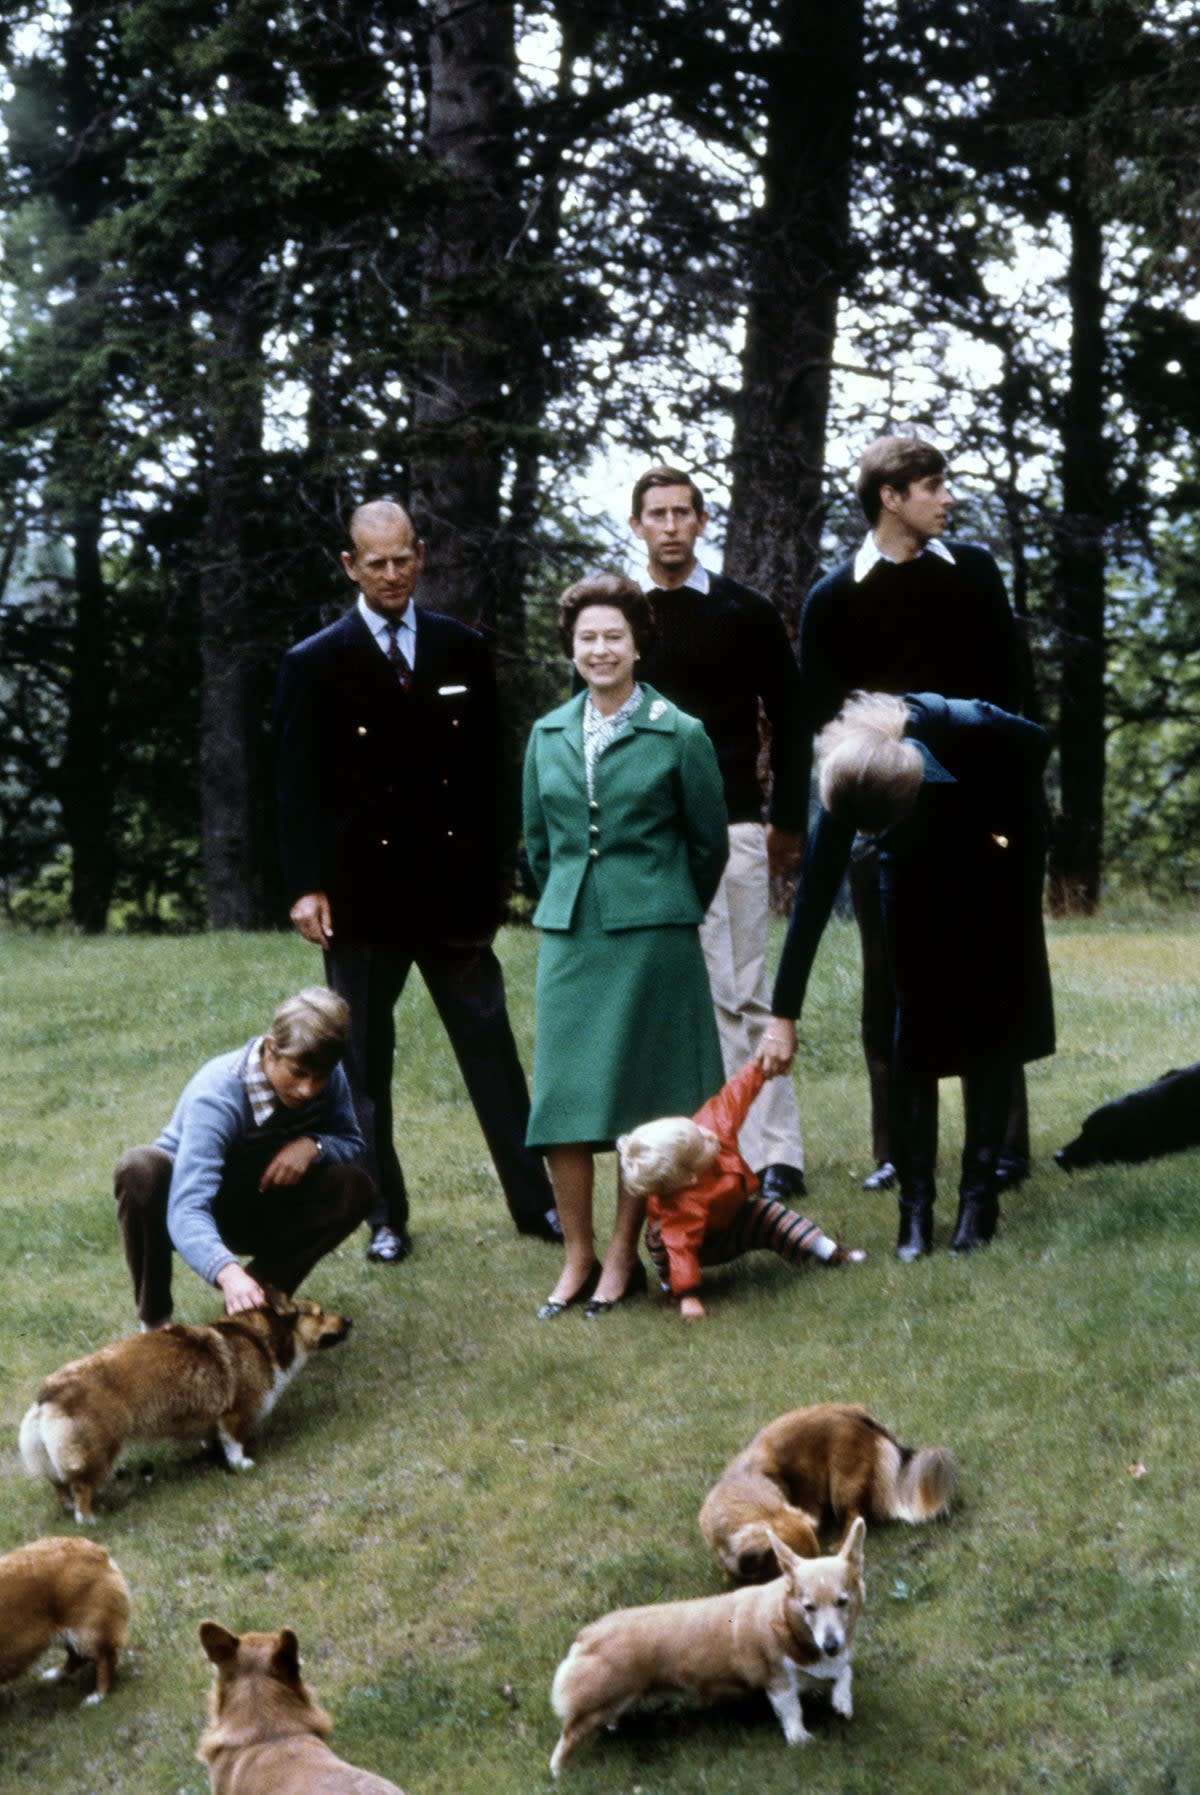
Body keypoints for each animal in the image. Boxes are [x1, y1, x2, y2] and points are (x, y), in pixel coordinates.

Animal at [0, 1536, 130, 1701]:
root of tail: (97, 1550)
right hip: (67, 1631)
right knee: (77, 1656)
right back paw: (54, 1674)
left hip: (86, 1632)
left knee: (105, 1659)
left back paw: (97, 1696)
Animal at [21, 1285, 347, 1522]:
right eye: (320, 1312)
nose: (349, 1321)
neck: (261, 1338)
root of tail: (48, 1392)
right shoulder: (235, 1413)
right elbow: (234, 1442)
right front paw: (241, 1463)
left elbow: (214, 1437)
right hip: (97, 1451)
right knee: (80, 1486)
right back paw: (88, 1519)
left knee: (60, 1485)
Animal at [548, 1522, 864, 1773]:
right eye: (809, 1606)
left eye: (842, 1601)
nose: (831, 1645)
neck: (790, 1624)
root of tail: (587, 1635)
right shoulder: (777, 1681)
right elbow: (791, 1711)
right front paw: (801, 1741)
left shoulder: (831, 1663)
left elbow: (844, 1673)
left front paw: (843, 1702)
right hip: (598, 1703)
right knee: (569, 1733)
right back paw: (558, 1771)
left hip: (620, 1697)